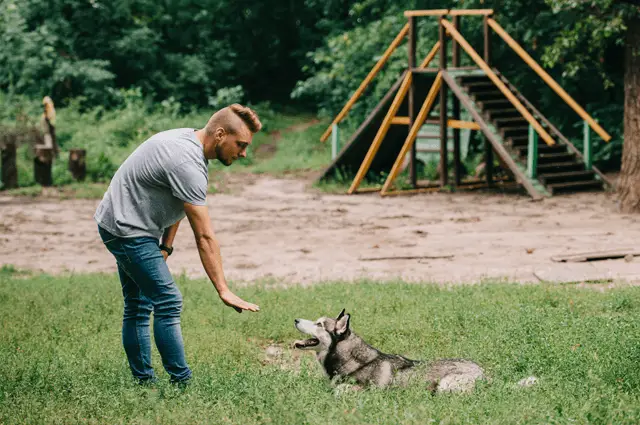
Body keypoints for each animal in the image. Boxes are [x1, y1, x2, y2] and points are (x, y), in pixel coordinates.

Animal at [294, 308, 484, 390]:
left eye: (319, 324)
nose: (295, 319)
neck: (356, 362)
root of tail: (484, 372)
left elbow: (339, 390)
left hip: (445, 385)